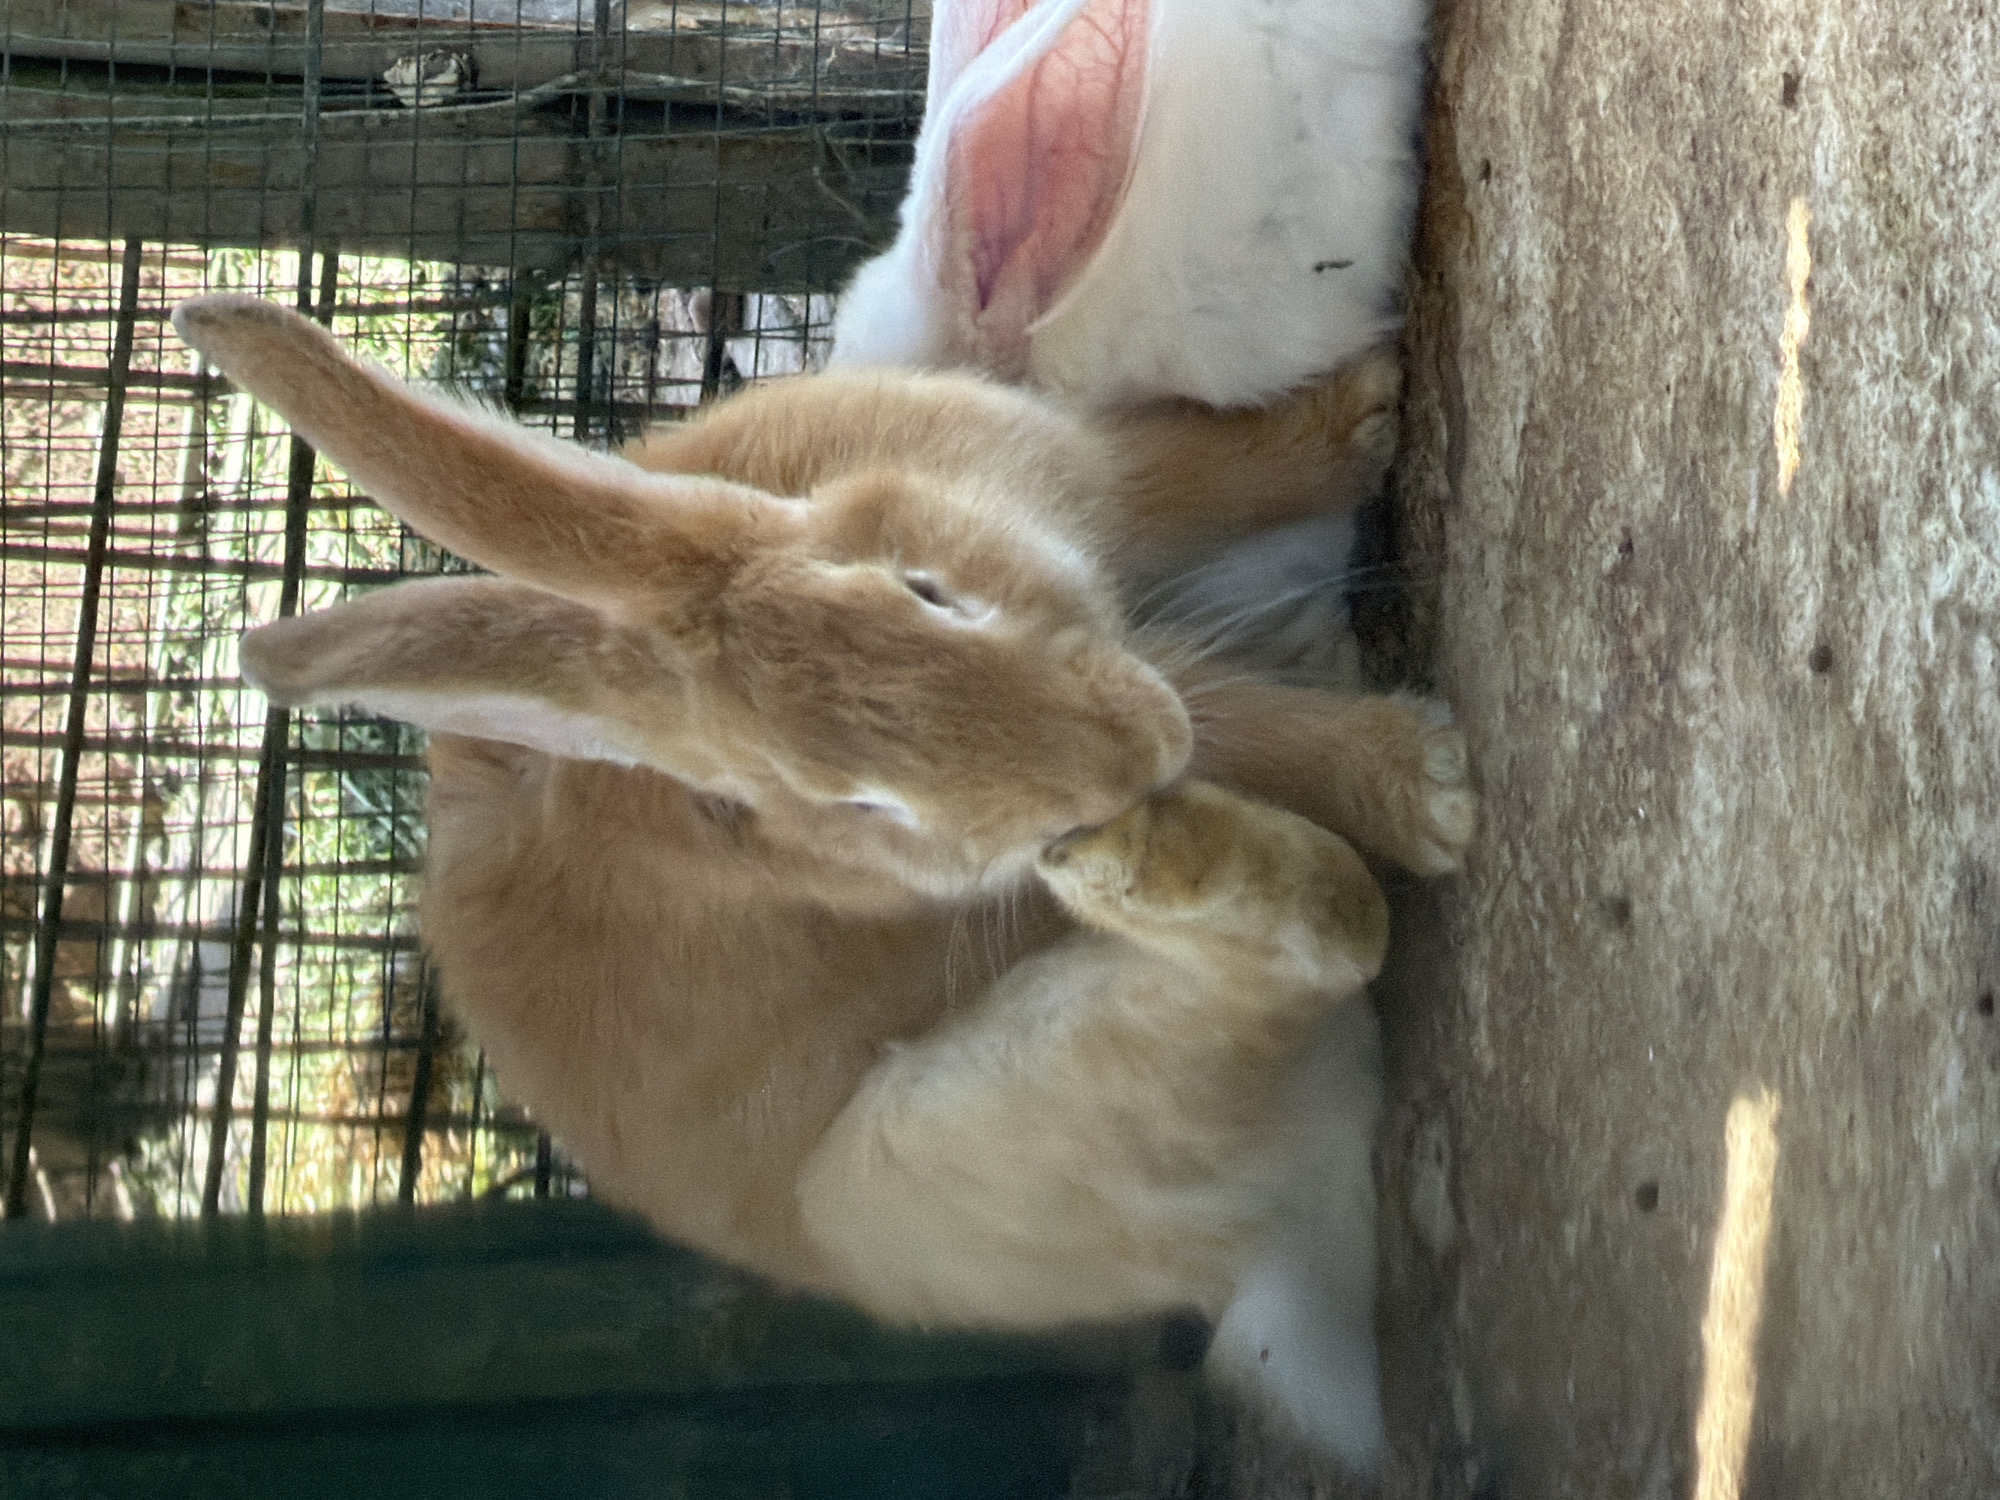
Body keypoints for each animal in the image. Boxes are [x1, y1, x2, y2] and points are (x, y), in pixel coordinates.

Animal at [173, 294, 1473, 1474]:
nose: (1127, 761)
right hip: (949, 1151)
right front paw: (1427, 788)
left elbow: (1192, 473)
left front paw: (1370, 402)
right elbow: (1246, 728)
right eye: (856, 807)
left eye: (924, 590)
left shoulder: (1066, 473)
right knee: (1299, 955)